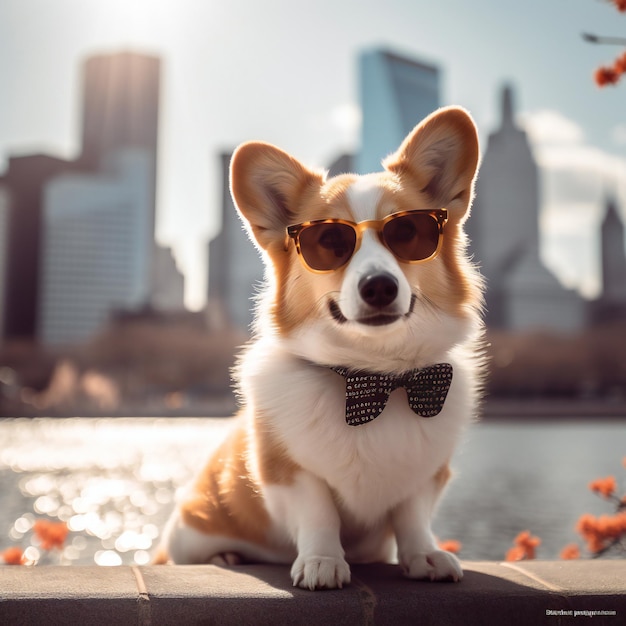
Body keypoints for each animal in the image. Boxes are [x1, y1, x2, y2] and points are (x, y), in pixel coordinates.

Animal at [155, 105, 482, 588]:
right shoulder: (288, 472)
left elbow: (412, 515)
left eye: (409, 232)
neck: (373, 377)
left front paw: (425, 556)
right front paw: (322, 562)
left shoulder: (426, 474)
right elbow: (318, 512)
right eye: (329, 242)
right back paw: (227, 558)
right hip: (189, 529)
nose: (379, 286)